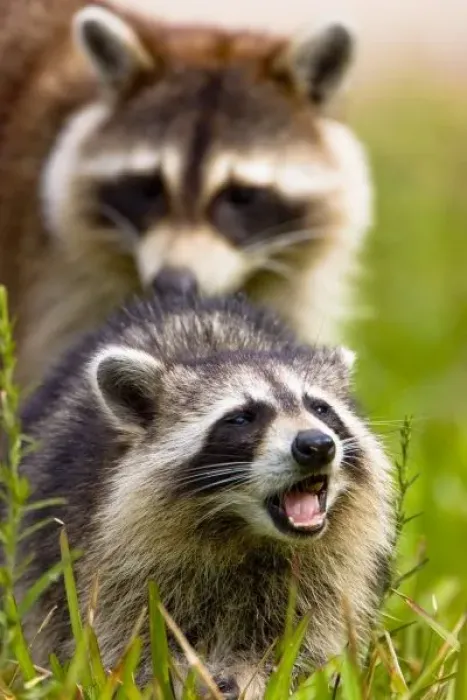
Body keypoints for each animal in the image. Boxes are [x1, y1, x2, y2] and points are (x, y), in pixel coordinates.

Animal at [18, 292, 394, 698]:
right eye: (242, 418)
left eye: (320, 408)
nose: (316, 445)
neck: (244, 531)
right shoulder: (114, 558)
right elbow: (126, 643)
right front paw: (183, 678)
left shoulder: (327, 573)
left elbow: (309, 641)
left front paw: (254, 678)